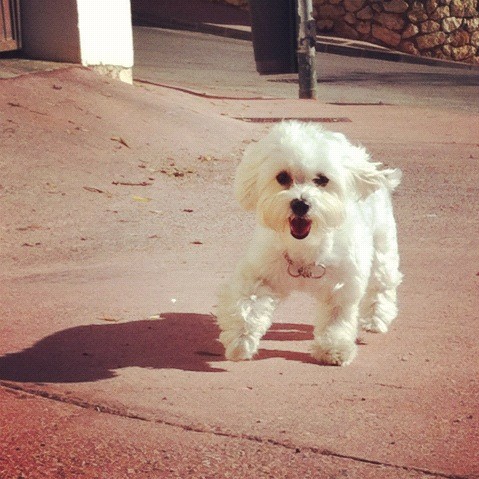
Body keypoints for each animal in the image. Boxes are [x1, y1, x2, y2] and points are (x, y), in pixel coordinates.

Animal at [217, 122, 402, 366]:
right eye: (282, 177)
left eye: (322, 179)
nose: (300, 204)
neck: (306, 248)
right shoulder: (260, 273)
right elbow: (247, 304)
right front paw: (241, 340)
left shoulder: (342, 286)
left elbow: (337, 319)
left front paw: (335, 348)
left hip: (383, 245)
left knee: (382, 285)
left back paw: (375, 318)